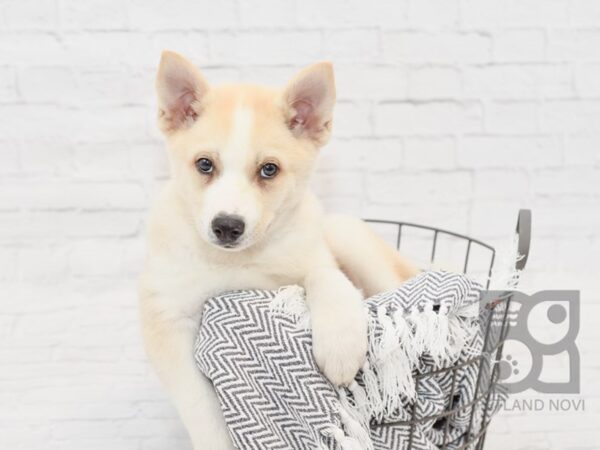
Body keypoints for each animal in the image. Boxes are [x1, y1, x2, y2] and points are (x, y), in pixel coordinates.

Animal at [139, 53, 418, 450]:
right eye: (205, 164)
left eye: (268, 169)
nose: (227, 226)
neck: (237, 261)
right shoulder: (166, 317)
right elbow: (200, 406)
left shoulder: (315, 255)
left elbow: (328, 277)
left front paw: (340, 344)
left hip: (347, 234)